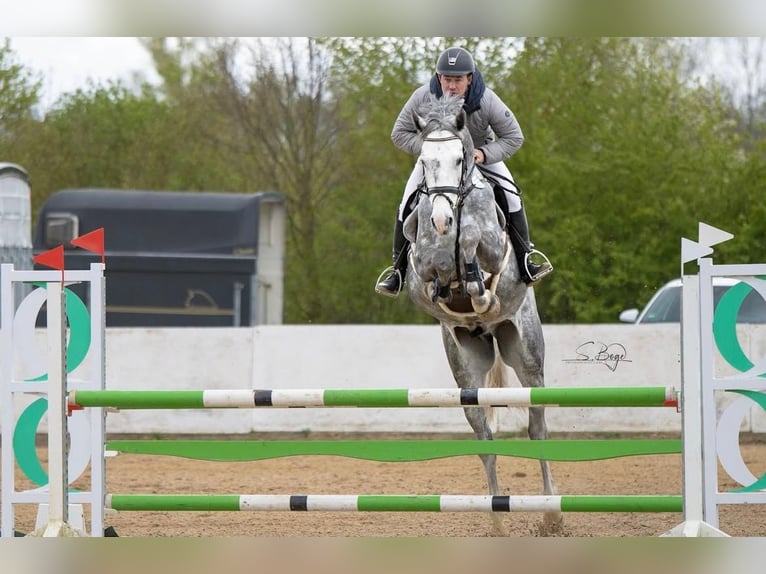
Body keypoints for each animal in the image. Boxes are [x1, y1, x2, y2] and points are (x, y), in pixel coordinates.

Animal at [404, 94, 560, 536]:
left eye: (460, 159)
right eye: (424, 160)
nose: (441, 219)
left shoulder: (492, 245)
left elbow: (473, 239)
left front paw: (475, 283)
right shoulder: (420, 263)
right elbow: (435, 263)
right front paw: (452, 282)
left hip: (526, 355)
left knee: (537, 428)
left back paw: (551, 514)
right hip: (465, 368)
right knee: (484, 437)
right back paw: (497, 519)